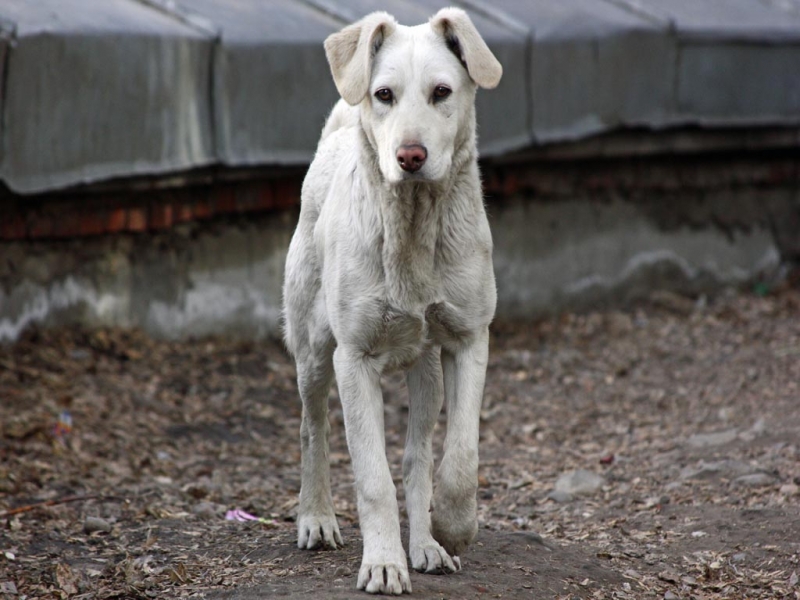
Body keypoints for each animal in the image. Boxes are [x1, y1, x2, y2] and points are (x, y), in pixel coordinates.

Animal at [282, 8, 500, 596]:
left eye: (442, 91)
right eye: (384, 94)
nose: (410, 156)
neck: (414, 227)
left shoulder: (469, 339)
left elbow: (460, 457)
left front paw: (452, 529)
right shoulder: (353, 359)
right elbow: (372, 477)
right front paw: (382, 563)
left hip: (425, 372)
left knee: (418, 456)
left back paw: (425, 544)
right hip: (313, 352)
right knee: (313, 429)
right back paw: (316, 518)